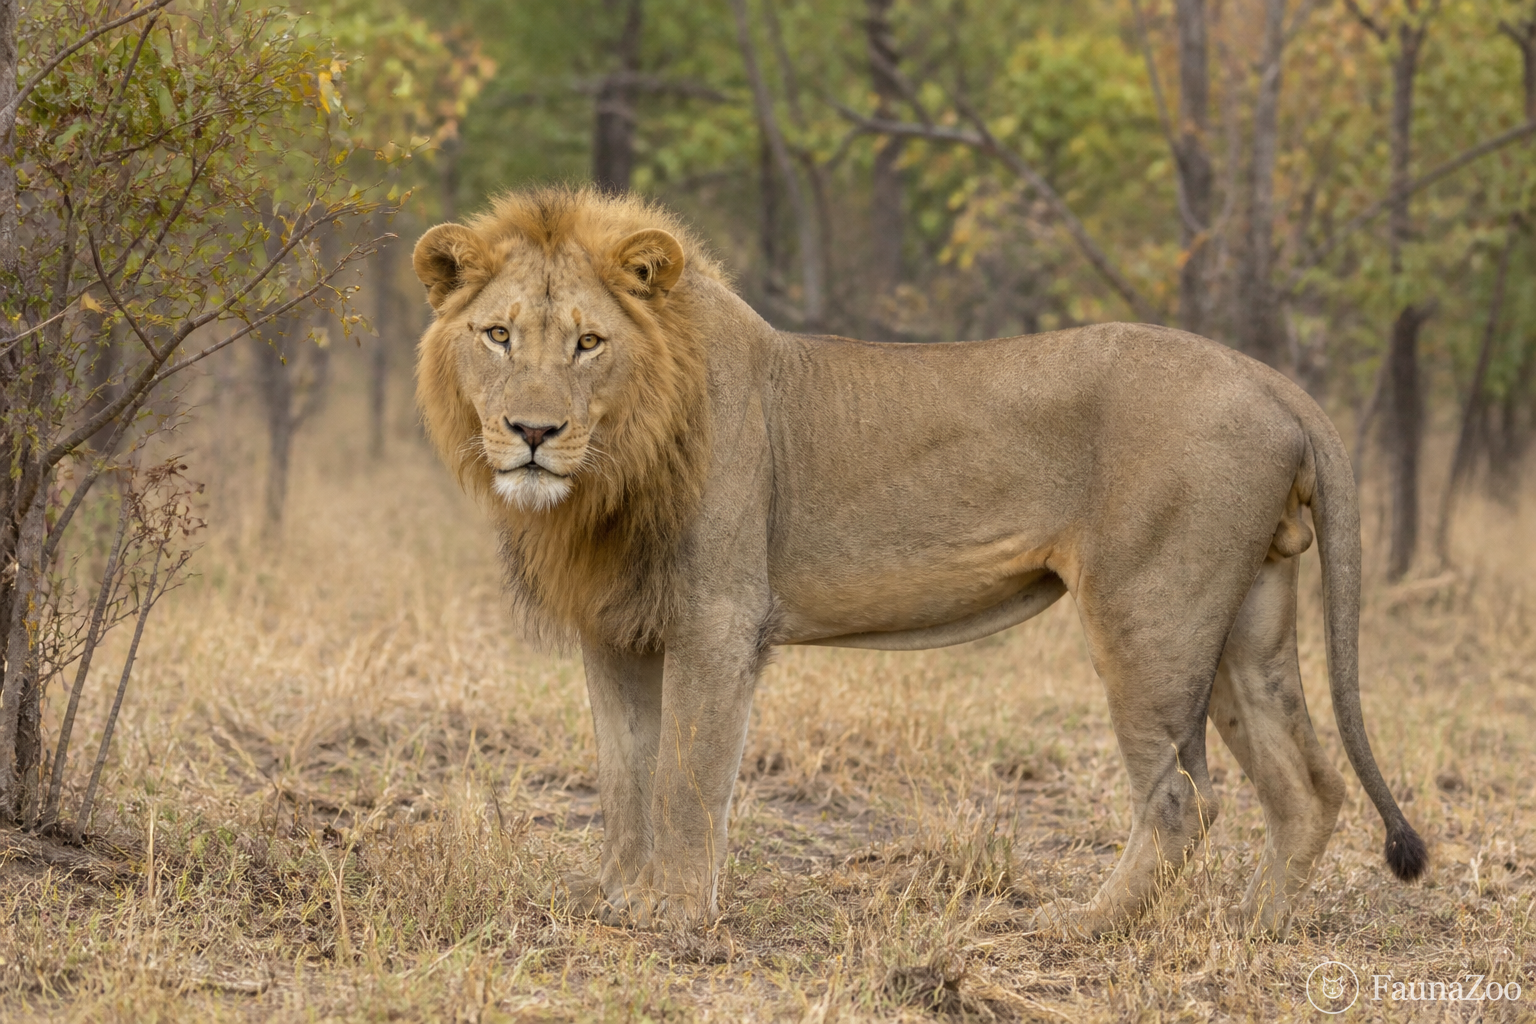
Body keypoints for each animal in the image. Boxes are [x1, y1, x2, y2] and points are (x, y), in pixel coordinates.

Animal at [412, 186, 1426, 938]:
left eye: (589, 342)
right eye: (499, 335)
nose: (532, 433)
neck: (611, 471)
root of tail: (1271, 379)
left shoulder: (716, 622)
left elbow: (686, 780)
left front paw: (676, 916)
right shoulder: (615, 631)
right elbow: (623, 775)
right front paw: (617, 900)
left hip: (1149, 614)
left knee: (1183, 798)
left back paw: (1081, 924)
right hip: (1246, 621)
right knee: (1307, 786)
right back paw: (1259, 929)